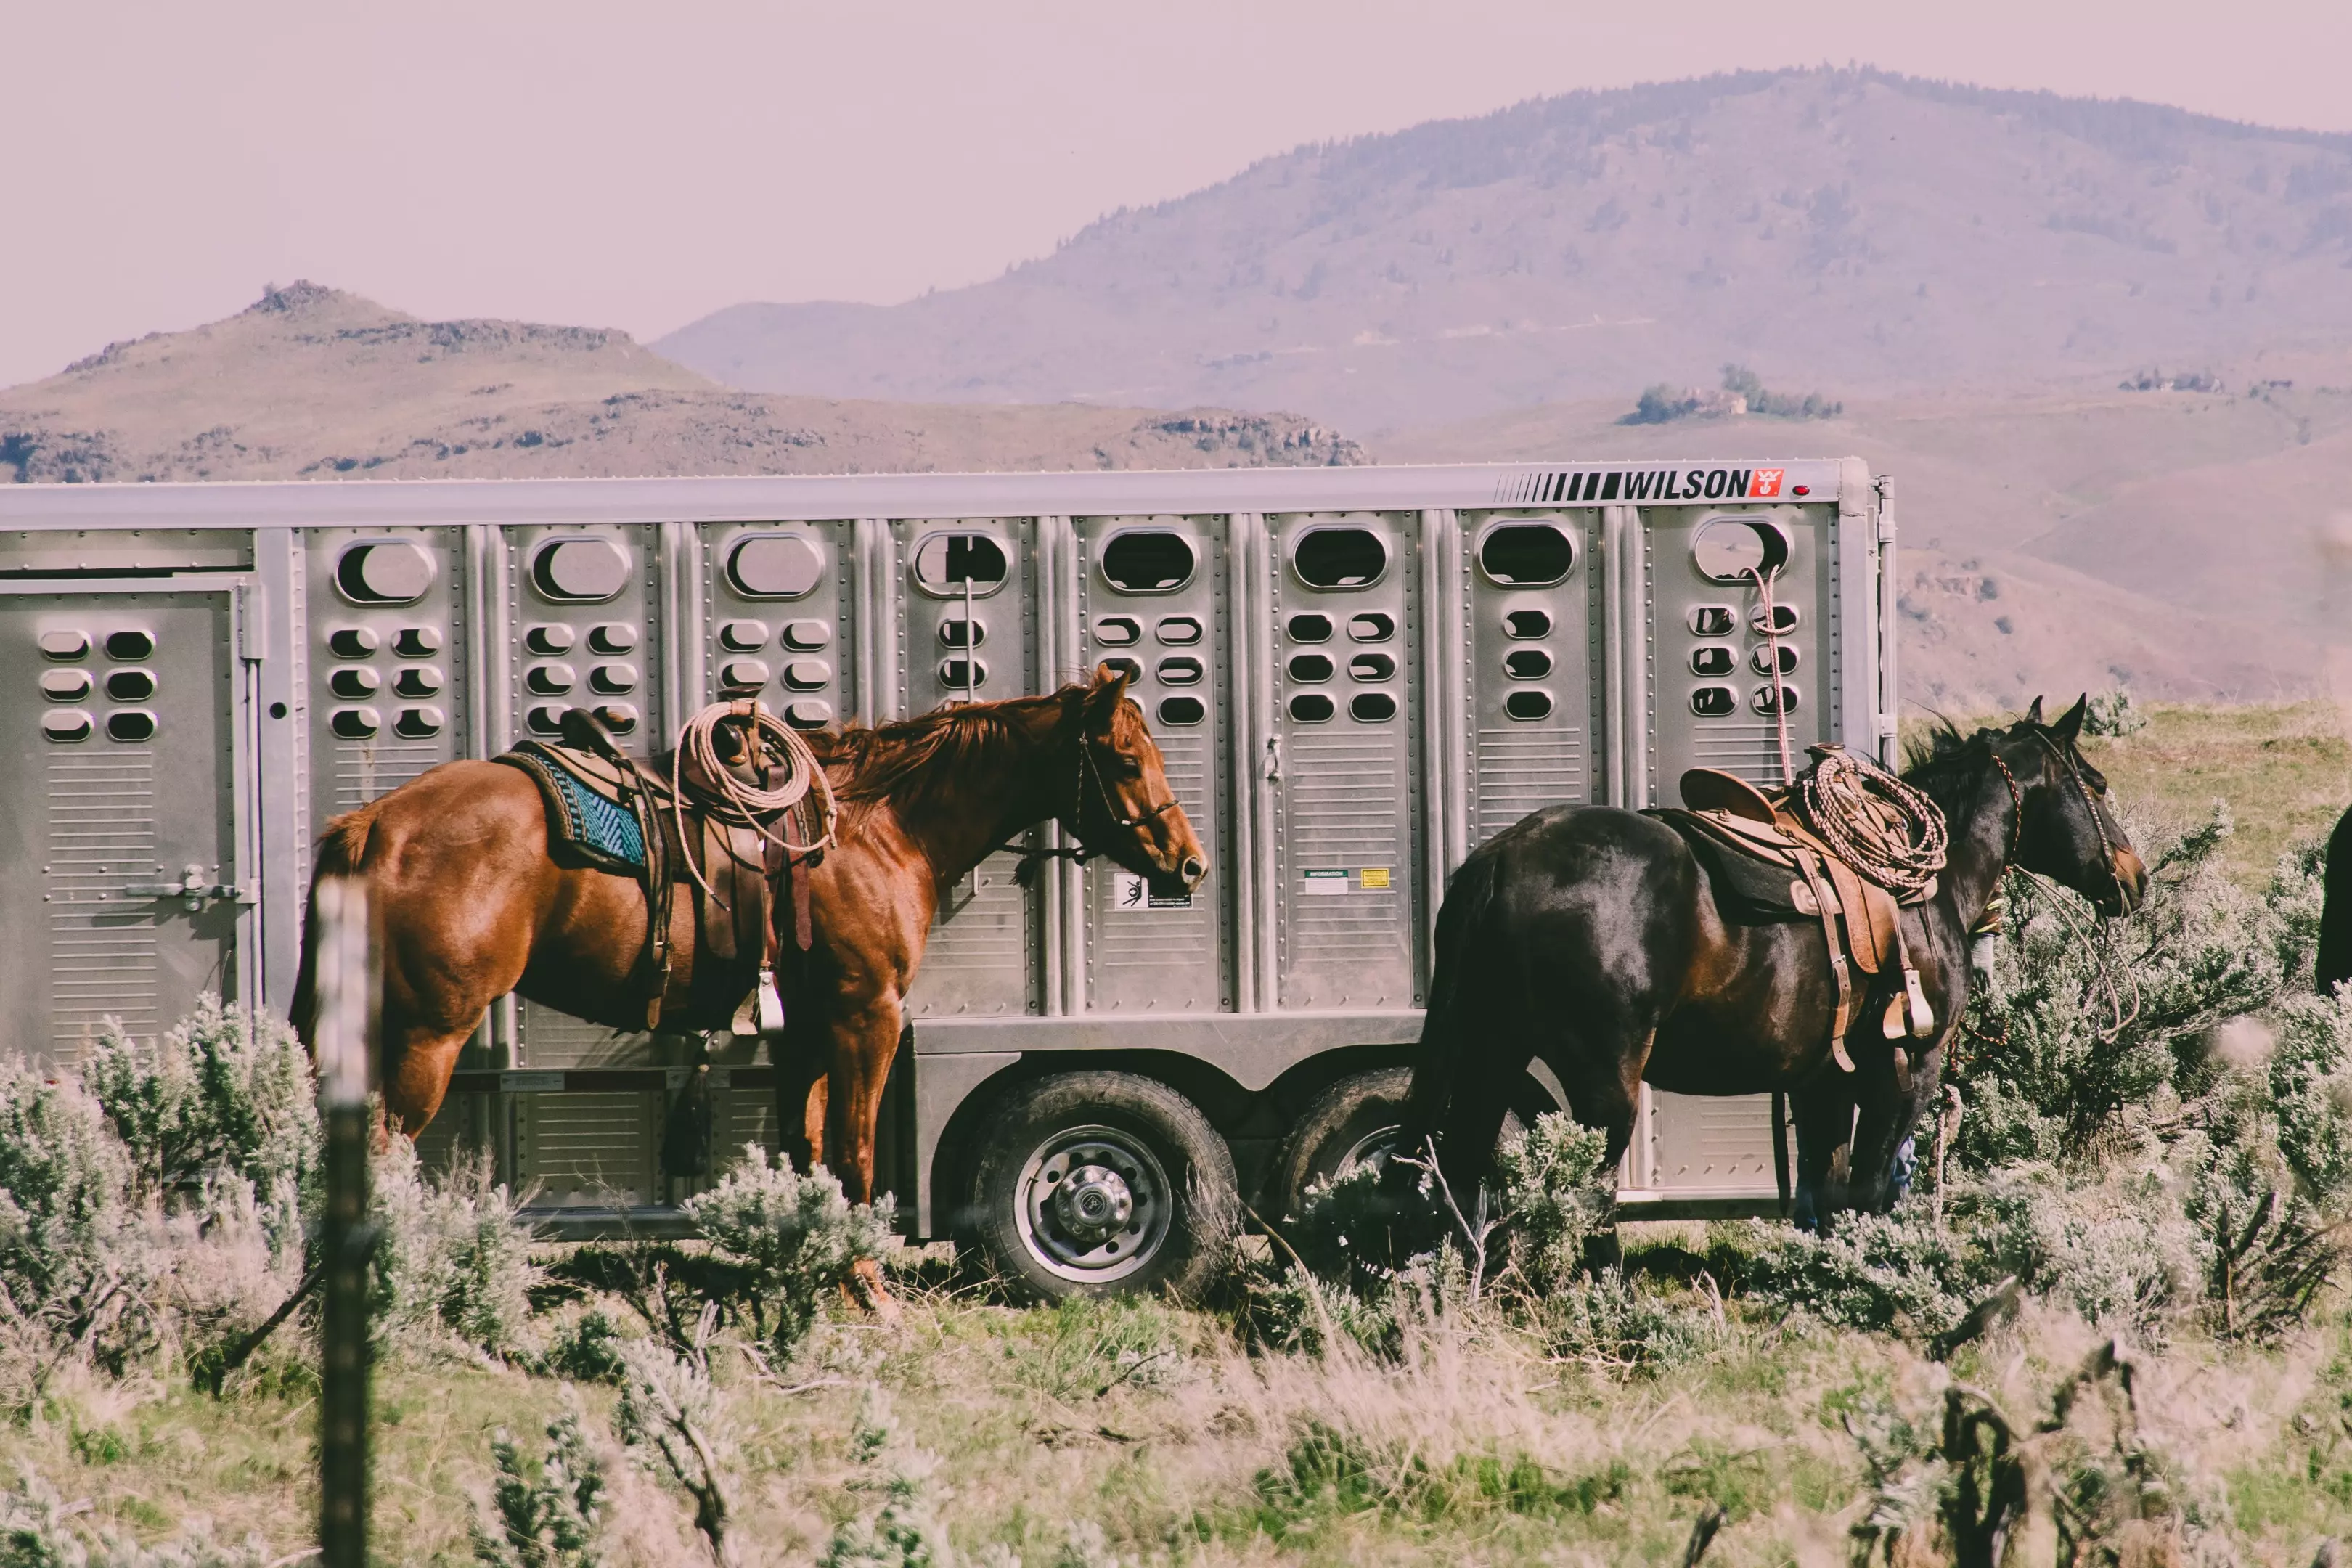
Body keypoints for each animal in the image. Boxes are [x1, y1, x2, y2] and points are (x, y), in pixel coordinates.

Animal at [294, 663, 1204, 1213]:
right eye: (1125, 761)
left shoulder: (803, 1030)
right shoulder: (868, 1015)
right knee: (380, 1154)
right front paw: (873, 1296)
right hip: (427, 1036)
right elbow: (857, 1154)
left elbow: (810, 1149)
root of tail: (374, 827)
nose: (1188, 863)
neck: (877, 827)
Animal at [1392, 695, 2154, 1222]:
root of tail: (1503, 855)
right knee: (1578, 1198)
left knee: (1459, 1175)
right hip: (1601, 1086)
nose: (2134, 876)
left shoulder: (1824, 1081)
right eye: (2096, 782)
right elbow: (1870, 1190)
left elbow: (1826, 1193)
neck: (1929, 886)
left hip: (1494, 1054)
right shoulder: (1908, 1068)